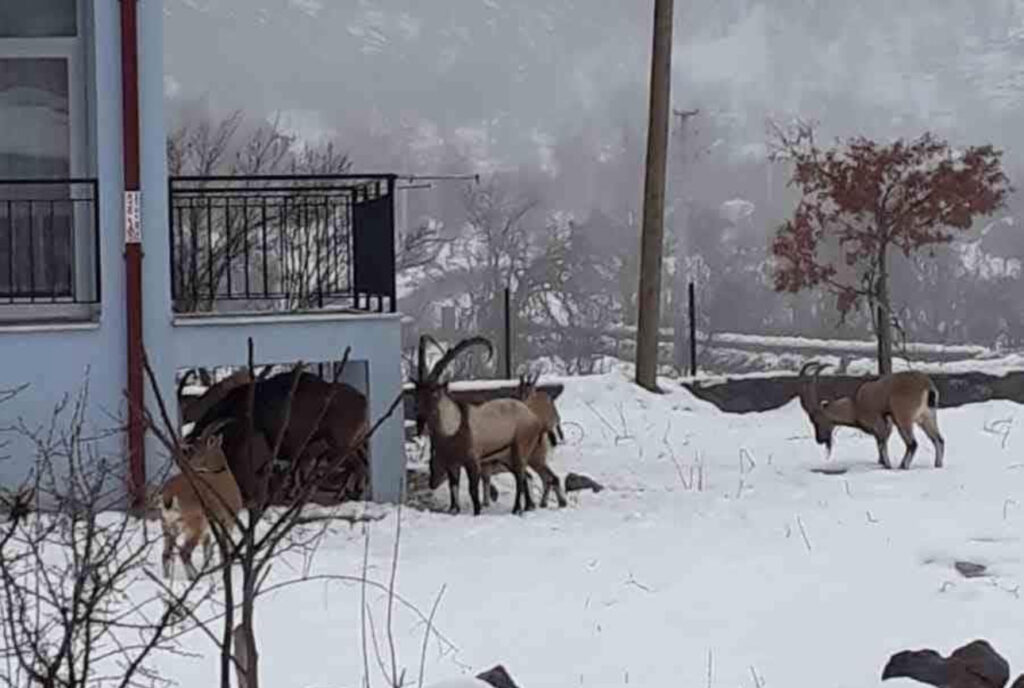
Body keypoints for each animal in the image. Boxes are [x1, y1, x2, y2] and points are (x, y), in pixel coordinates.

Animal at [159, 419, 243, 581]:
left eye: (198, 449)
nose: (189, 465)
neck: (222, 474)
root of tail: (169, 494)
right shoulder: (227, 522)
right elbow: (223, 549)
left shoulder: (209, 531)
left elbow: (207, 551)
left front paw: (209, 568)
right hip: (194, 524)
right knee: (184, 552)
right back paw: (193, 577)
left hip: (168, 525)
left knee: (166, 553)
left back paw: (166, 579)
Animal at [413, 333, 552, 516]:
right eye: (417, 391)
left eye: (434, 392)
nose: (418, 414)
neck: (452, 428)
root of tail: (533, 418)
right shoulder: (452, 462)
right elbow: (453, 487)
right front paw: (453, 510)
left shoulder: (473, 460)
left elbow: (473, 490)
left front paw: (477, 512)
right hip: (507, 456)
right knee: (522, 476)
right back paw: (527, 506)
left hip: (521, 446)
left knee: (520, 476)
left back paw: (517, 509)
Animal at [794, 360, 946, 466]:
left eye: (815, 420)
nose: (820, 439)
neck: (856, 405)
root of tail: (927, 386)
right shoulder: (886, 426)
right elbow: (880, 445)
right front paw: (880, 462)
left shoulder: (880, 424)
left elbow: (882, 445)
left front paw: (887, 465)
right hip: (927, 417)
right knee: (939, 440)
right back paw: (937, 465)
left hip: (904, 418)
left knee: (912, 444)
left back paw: (903, 466)